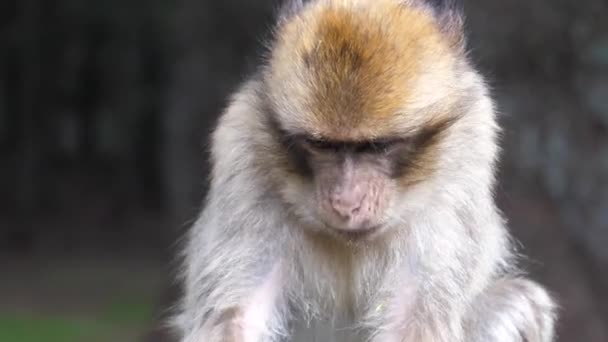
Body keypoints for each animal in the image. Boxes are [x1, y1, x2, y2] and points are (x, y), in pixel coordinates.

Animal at [171, 0, 556, 342]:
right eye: (320, 144)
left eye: (376, 146)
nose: (346, 202)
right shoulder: (243, 157)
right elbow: (237, 317)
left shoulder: (460, 168)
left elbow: (413, 317)